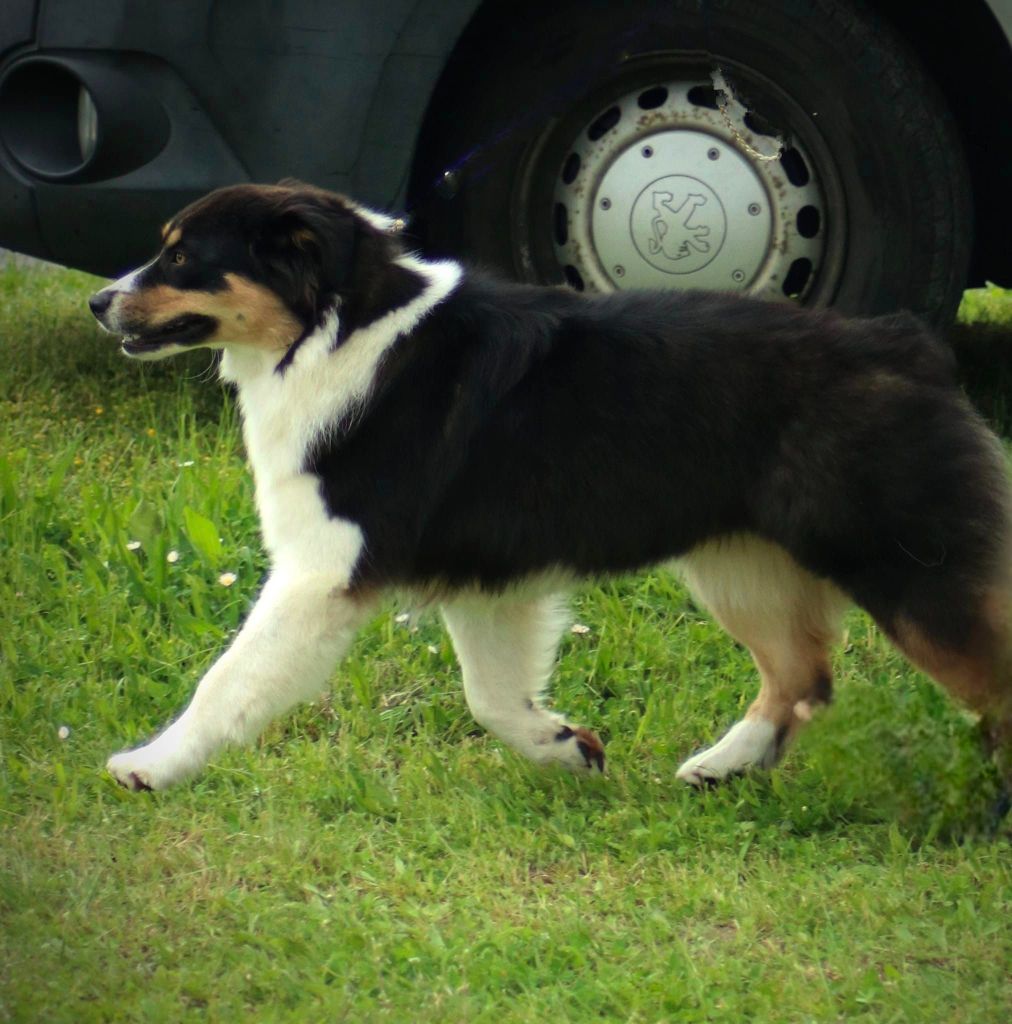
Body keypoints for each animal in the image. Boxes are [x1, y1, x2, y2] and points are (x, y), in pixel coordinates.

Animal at [89, 182, 1012, 790]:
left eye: (182, 256)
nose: (100, 301)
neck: (338, 329)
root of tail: (907, 345)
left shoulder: (324, 569)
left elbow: (229, 680)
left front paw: (149, 766)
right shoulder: (483, 579)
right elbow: (492, 695)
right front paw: (569, 747)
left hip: (910, 569)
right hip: (739, 564)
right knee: (802, 677)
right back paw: (721, 767)